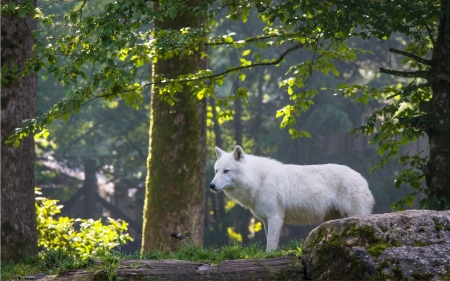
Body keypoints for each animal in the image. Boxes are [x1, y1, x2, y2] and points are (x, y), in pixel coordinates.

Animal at [209, 145, 374, 248]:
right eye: (216, 171)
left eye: (226, 171)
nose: (211, 185)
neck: (258, 179)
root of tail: (363, 179)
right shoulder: (266, 220)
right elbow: (269, 241)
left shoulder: (275, 217)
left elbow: (271, 245)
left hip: (355, 215)